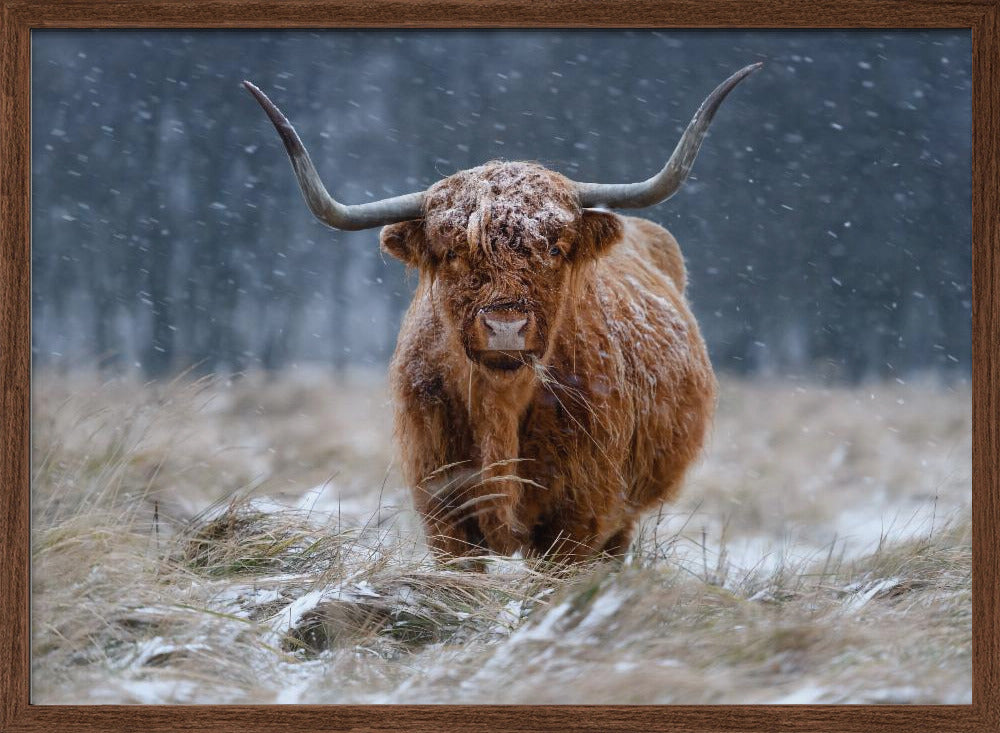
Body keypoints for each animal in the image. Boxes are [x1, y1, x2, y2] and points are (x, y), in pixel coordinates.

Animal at [244, 63, 761, 564]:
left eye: (554, 249)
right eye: (453, 252)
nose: (506, 327)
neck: (500, 407)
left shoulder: (580, 515)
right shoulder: (443, 510)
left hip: (624, 515)